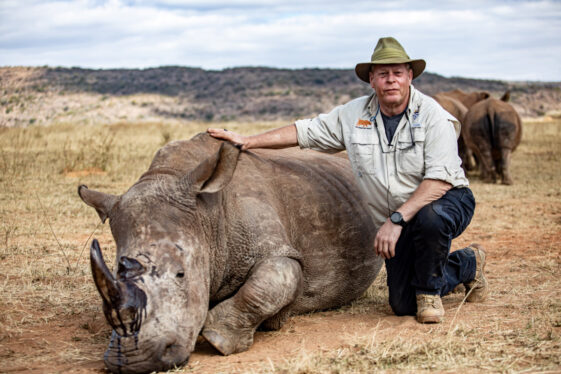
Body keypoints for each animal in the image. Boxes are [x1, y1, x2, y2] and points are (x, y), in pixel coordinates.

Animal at [79, 133, 382, 372]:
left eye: (181, 274)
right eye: (115, 274)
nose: (134, 361)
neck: (206, 216)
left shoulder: (279, 249)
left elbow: (269, 282)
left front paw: (216, 338)